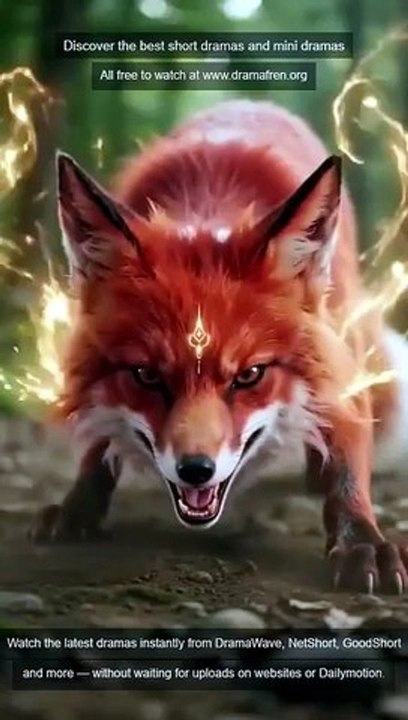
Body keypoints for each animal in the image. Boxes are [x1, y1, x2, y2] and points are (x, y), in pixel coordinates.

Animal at [30, 99, 408, 593]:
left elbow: (346, 459)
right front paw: (79, 506)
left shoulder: (339, 354)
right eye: (146, 375)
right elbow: (98, 441)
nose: (195, 470)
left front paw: (361, 539)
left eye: (249, 375)